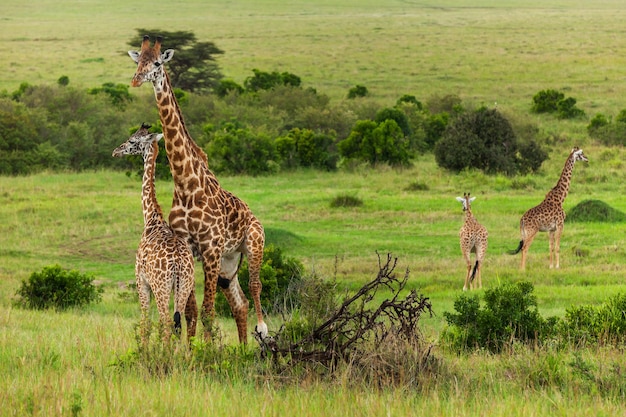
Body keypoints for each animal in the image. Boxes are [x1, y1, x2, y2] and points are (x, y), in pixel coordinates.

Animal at [112, 124, 197, 344]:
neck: (151, 217)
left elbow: (145, 323)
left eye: (132, 141)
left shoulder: (141, 281)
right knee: (180, 323)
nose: (116, 151)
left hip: (161, 287)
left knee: (166, 322)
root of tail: (178, 263)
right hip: (184, 285)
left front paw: (144, 350)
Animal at [127, 35, 266, 342]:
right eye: (138, 61)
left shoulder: (210, 249)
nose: (136, 80)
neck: (186, 184)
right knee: (239, 302)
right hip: (229, 263)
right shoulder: (189, 247)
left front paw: (205, 350)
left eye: (157, 63)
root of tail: (252, 215)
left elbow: (207, 313)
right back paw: (243, 348)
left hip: (253, 244)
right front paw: (191, 349)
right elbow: (189, 313)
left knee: (255, 285)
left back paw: (263, 330)